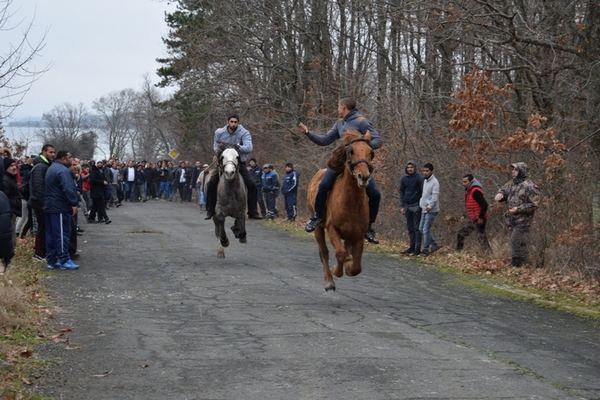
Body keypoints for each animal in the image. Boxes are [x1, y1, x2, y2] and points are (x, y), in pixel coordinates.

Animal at [308, 130, 372, 290]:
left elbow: (356, 267)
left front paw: (349, 266)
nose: (364, 177)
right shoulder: (332, 229)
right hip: (318, 226)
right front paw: (336, 269)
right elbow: (340, 254)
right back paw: (329, 281)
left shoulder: (358, 235)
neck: (351, 202)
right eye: (352, 151)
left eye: (371, 152)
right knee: (324, 252)